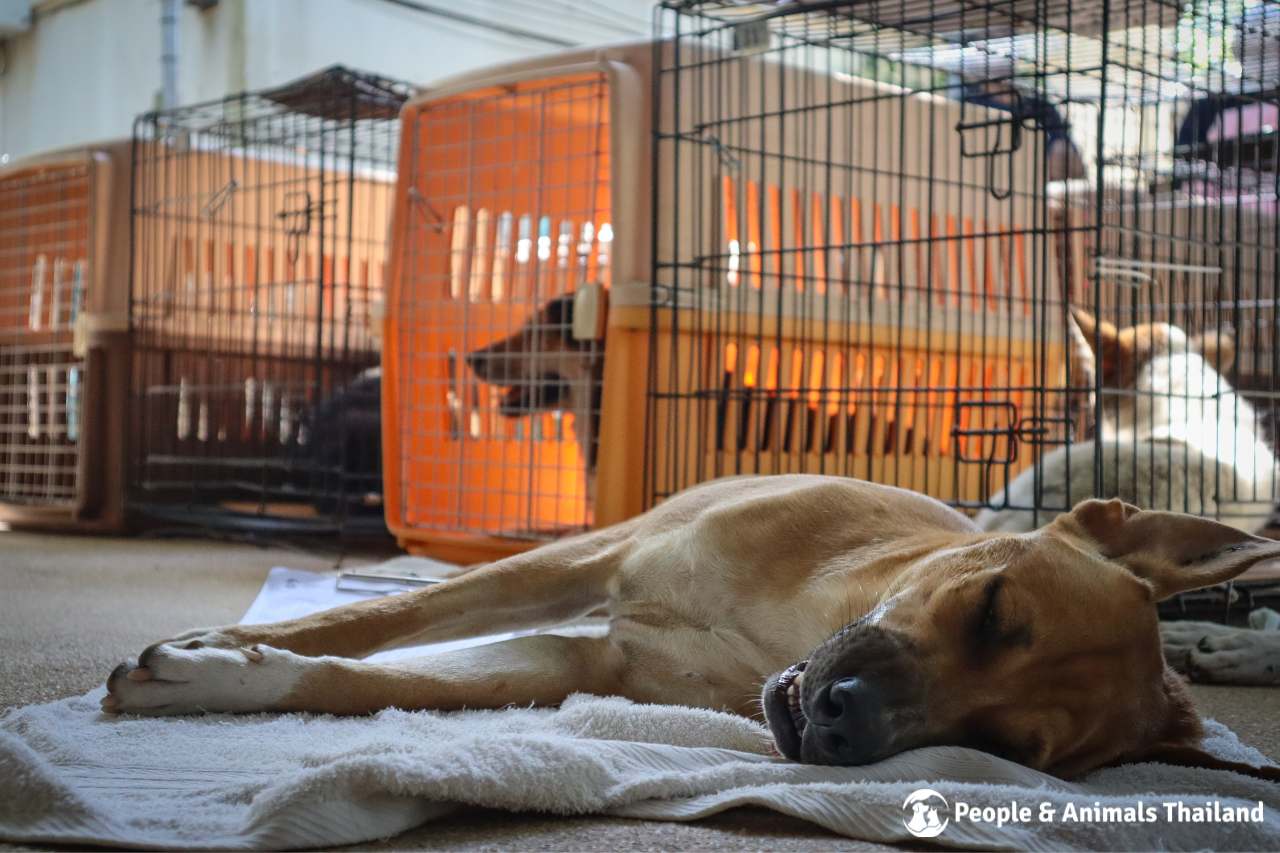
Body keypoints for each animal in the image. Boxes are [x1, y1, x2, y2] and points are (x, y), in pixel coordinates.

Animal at [104, 471, 1280, 778]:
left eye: (1006, 750)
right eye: (995, 609)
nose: (840, 726)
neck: (796, 621)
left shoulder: (587, 652)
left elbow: (368, 679)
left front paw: (216, 677)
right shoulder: (587, 561)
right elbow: (386, 620)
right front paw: (218, 652)